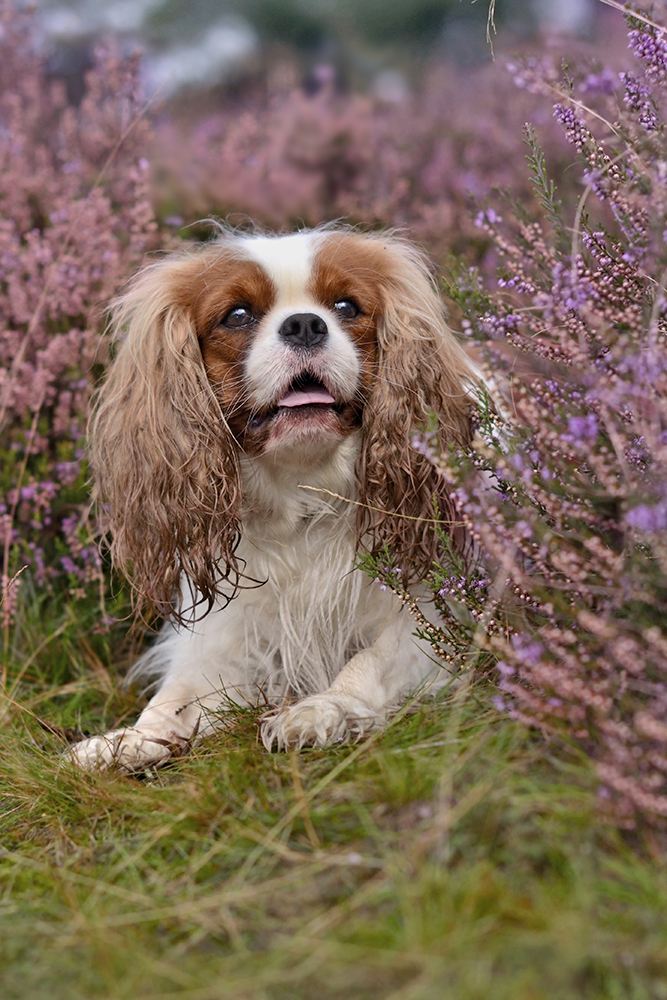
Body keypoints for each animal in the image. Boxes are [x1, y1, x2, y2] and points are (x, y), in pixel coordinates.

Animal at [70, 229, 478, 772]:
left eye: (346, 307)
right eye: (238, 315)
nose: (305, 324)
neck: (303, 492)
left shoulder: (435, 615)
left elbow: (370, 660)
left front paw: (322, 710)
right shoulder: (230, 638)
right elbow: (177, 698)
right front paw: (131, 740)